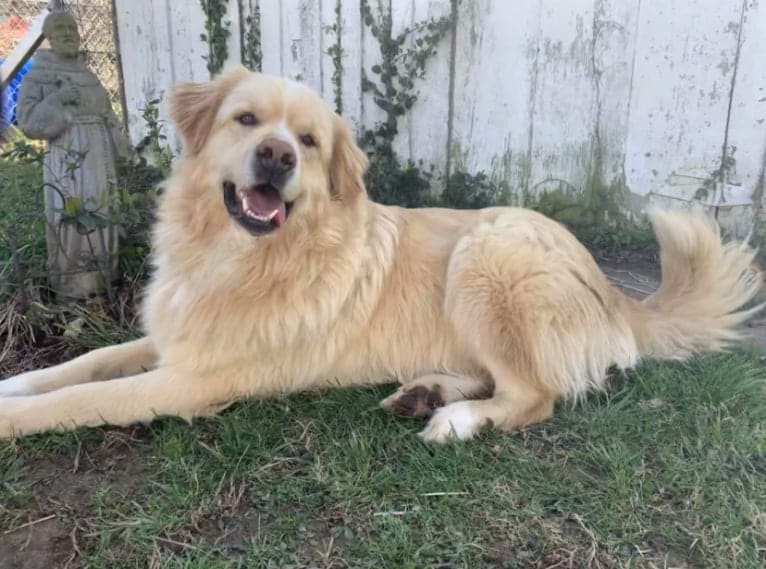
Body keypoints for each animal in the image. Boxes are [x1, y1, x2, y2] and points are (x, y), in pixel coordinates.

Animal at [0, 66, 764, 440]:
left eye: (309, 142)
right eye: (246, 120)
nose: (277, 156)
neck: (234, 255)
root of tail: (613, 291)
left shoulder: (190, 381)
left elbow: (82, 398)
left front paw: (11, 416)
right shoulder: (171, 339)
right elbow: (85, 363)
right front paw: (15, 383)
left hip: (483, 256)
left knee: (535, 395)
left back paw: (454, 420)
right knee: (501, 376)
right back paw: (428, 392)